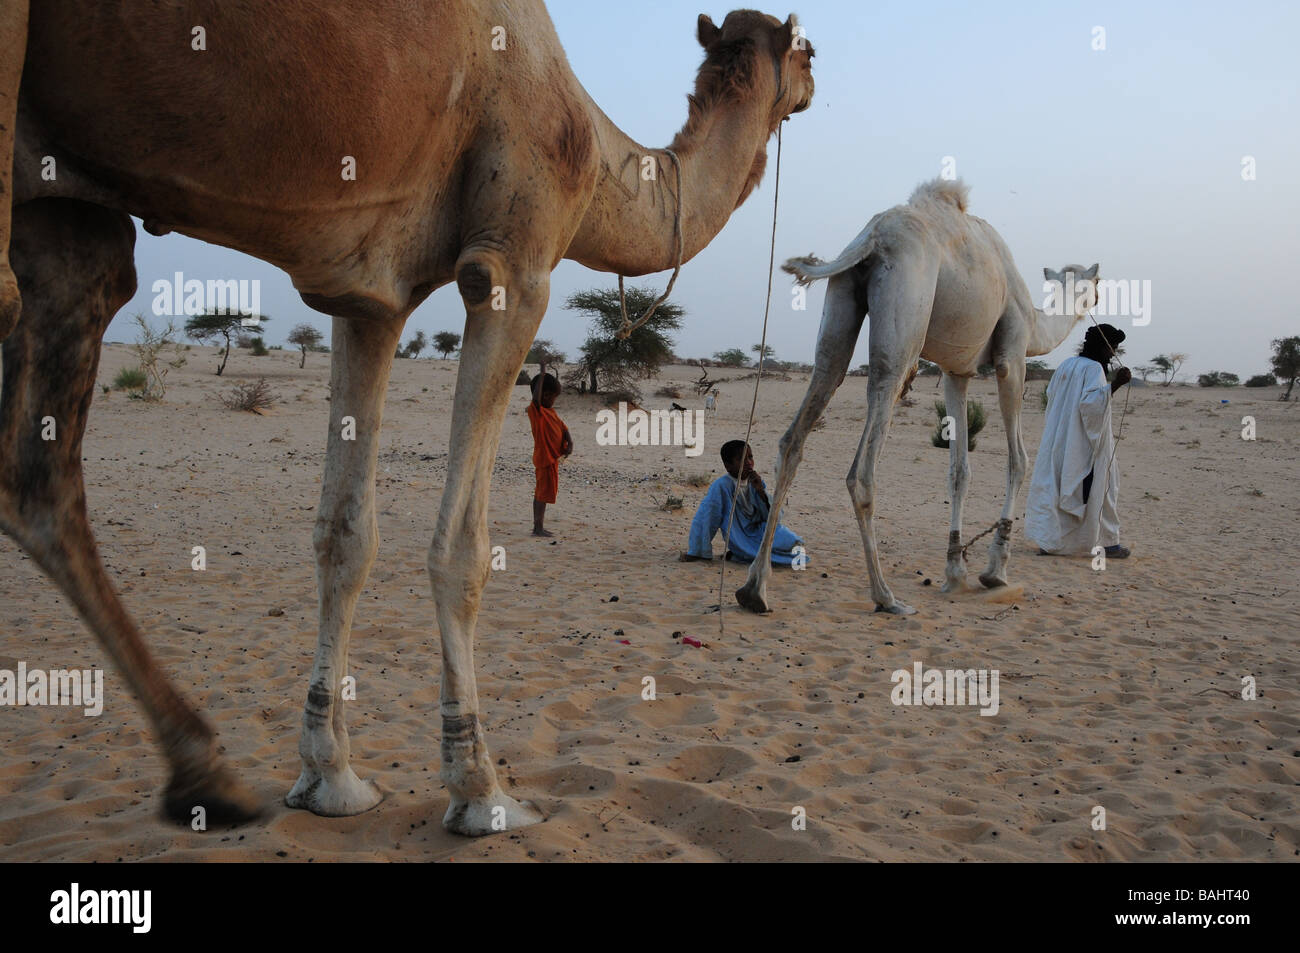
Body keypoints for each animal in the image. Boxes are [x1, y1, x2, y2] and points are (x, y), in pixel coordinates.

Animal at [0, 1, 811, 832]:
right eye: (807, 51)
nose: (812, 89)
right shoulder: (511, 265)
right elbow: (462, 548)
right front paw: (480, 788)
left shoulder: (367, 301)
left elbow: (343, 536)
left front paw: (329, 776)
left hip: (64, 220)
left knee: (40, 475)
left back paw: (207, 771)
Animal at [743, 179, 1097, 613]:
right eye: (1093, 282)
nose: (1097, 299)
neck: (1035, 321)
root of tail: (873, 236)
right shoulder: (1011, 356)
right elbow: (1018, 460)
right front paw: (995, 570)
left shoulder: (957, 372)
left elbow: (959, 470)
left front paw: (955, 572)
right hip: (905, 317)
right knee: (864, 464)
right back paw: (885, 596)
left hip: (840, 306)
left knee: (803, 420)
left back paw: (755, 589)